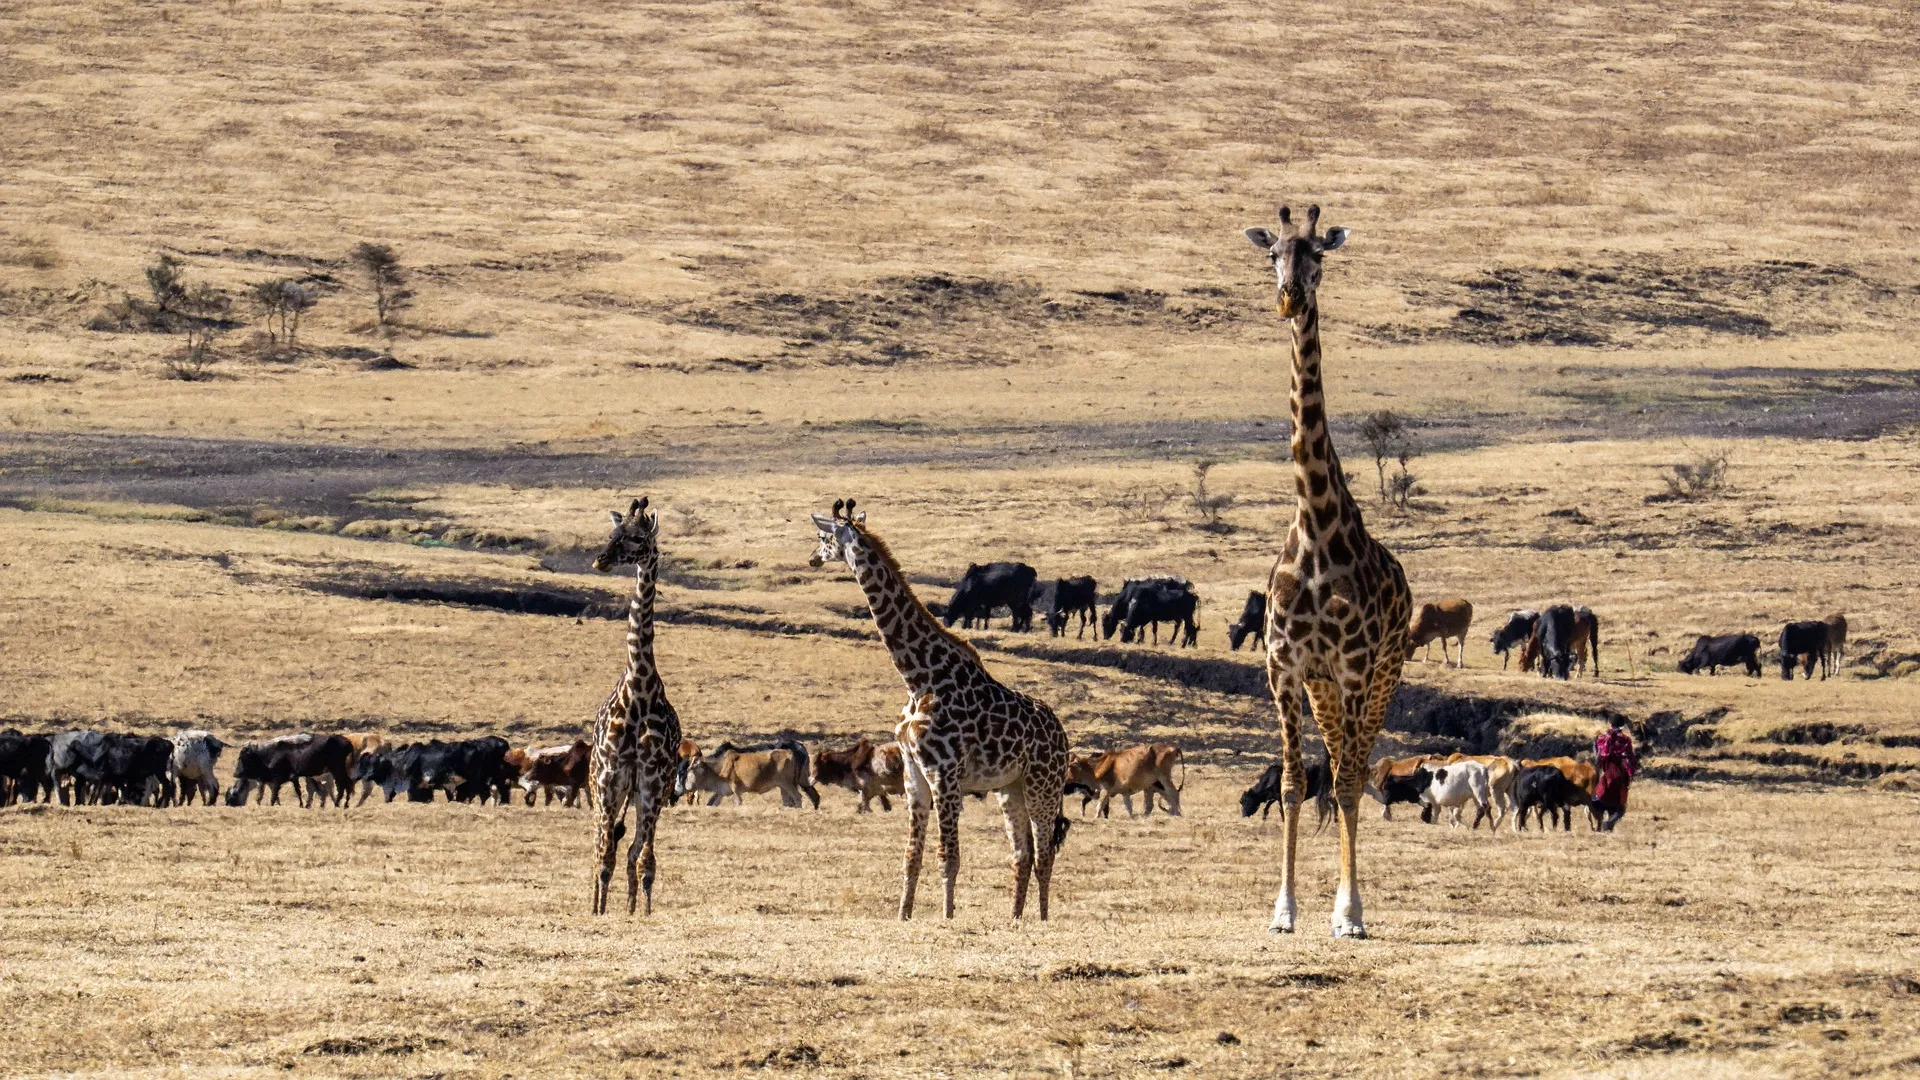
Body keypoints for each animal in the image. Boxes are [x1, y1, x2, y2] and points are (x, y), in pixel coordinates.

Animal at [683, 737, 817, 807]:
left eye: (690, 771)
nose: (686, 787)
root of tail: (799, 747)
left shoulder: (734, 789)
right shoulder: (722, 791)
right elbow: (712, 802)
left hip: (789, 783)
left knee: (798, 797)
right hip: (786, 785)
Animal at [810, 499, 1075, 914]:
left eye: (823, 537)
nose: (812, 559)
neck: (918, 678)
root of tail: (1062, 733)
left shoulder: (944, 774)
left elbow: (948, 856)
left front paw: (948, 917)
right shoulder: (914, 774)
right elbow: (912, 856)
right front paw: (903, 915)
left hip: (1043, 784)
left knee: (1045, 852)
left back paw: (1043, 918)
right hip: (1010, 787)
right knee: (1023, 854)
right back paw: (1014, 918)